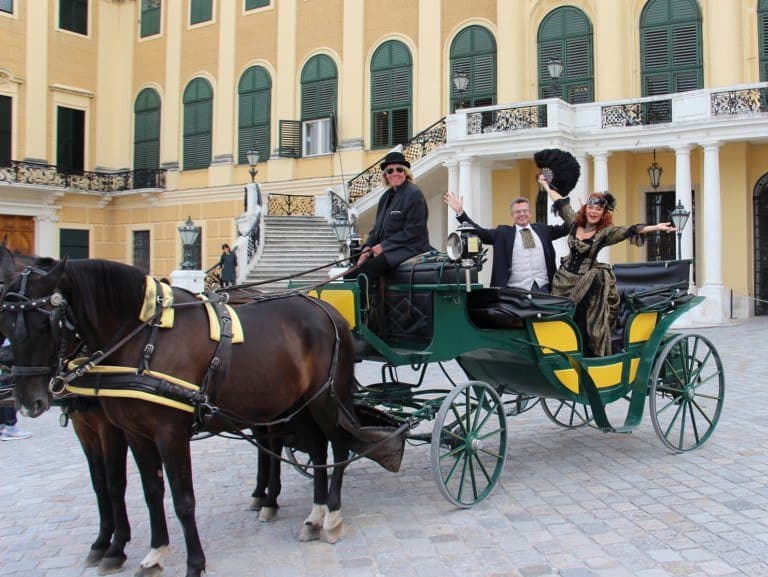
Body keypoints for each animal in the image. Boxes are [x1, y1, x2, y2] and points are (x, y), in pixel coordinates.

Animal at [0, 256, 372, 576]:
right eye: (6, 320)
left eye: (46, 322)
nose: (29, 402)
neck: (143, 340)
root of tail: (325, 309)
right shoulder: (132, 432)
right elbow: (147, 491)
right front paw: (152, 553)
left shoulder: (166, 432)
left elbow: (179, 498)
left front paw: (190, 562)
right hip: (295, 404)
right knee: (315, 447)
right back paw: (310, 512)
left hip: (324, 401)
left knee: (338, 444)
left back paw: (331, 515)